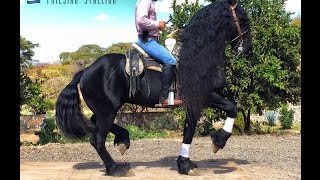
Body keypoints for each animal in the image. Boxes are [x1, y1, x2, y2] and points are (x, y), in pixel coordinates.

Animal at [57, 0, 252, 176]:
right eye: (243, 19)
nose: (248, 50)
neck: (198, 56)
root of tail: (85, 70)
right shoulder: (206, 96)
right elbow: (232, 108)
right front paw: (218, 141)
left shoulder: (192, 103)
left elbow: (189, 130)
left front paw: (184, 163)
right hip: (107, 111)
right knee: (96, 140)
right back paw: (115, 168)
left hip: (105, 110)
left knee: (93, 123)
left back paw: (123, 139)